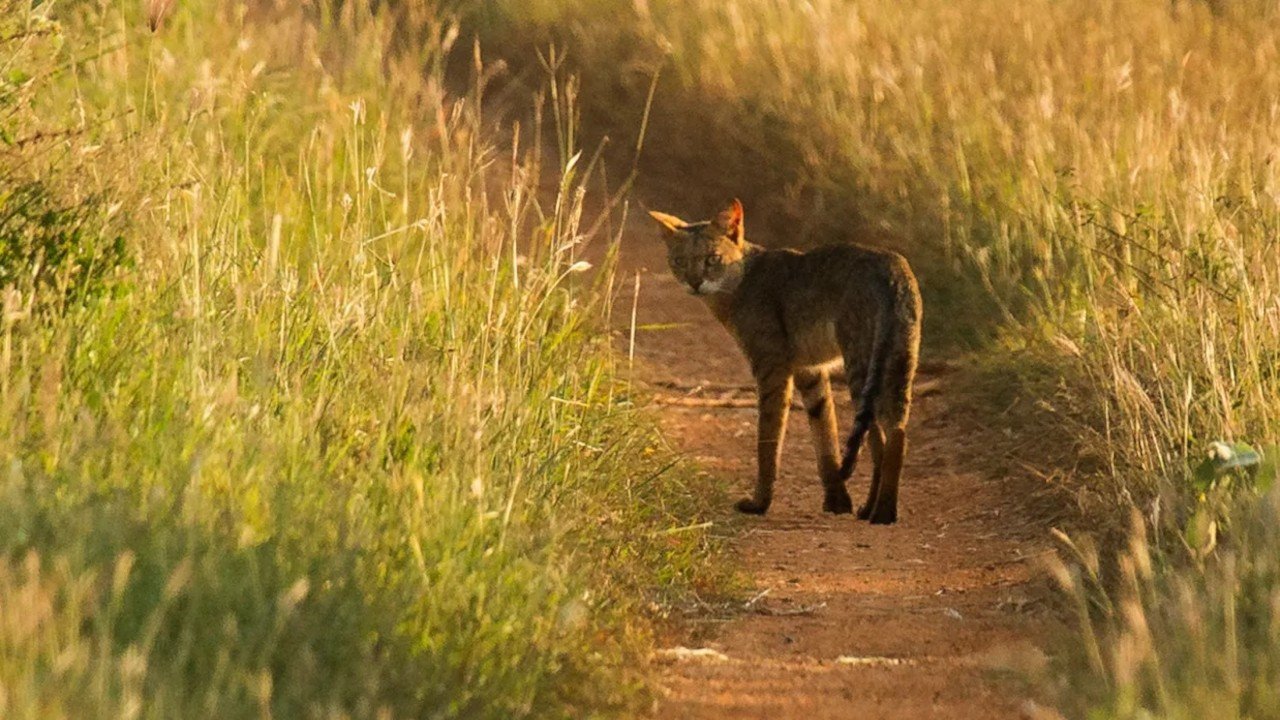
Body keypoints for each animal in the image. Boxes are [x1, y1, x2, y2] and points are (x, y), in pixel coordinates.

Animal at [650, 196, 921, 520]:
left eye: (712, 259)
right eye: (679, 261)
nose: (694, 282)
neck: (738, 283)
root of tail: (891, 266)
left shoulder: (772, 368)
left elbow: (768, 441)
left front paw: (760, 503)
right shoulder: (809, 370)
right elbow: (826, 439)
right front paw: (837, 501)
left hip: (862, 364)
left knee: (881, 435)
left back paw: (879, 513)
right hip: (898, 362)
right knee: (894, 434)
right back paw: (878, 510)